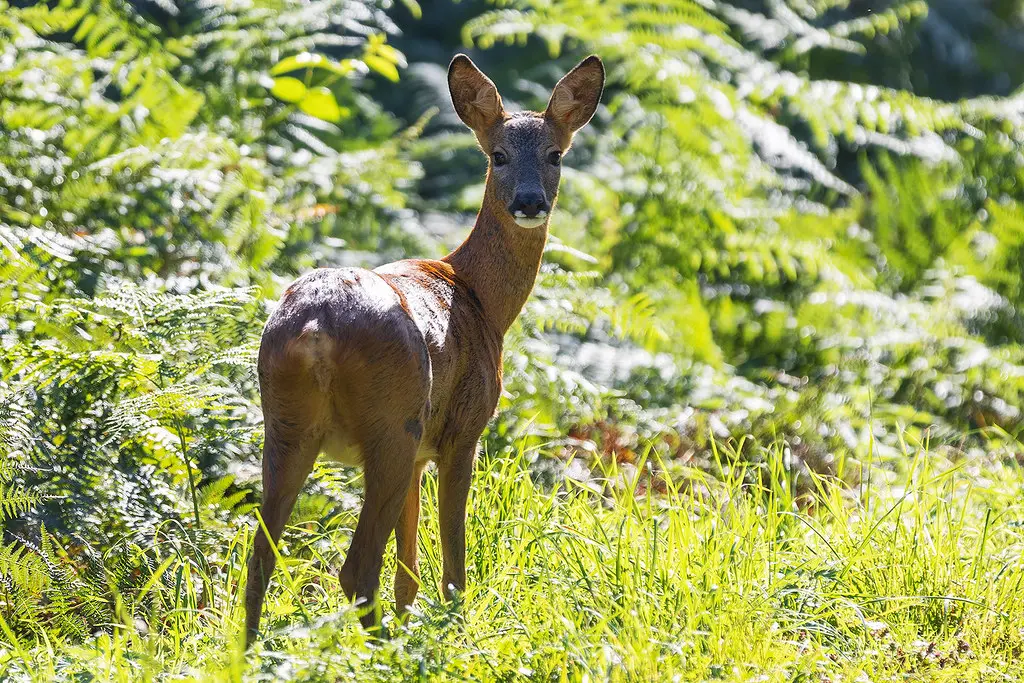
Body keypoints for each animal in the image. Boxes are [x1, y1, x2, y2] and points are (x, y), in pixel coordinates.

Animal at [244, 53, 604, 646]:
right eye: (498, 155)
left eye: (556, 154)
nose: (530, 202)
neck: (479, 297)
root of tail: (316, 327)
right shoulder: (462, 430)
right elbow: (451, 558)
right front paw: (457, 625)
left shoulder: (419, 455)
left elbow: (408, 568)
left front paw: (414, 617)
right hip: (392, 423)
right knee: (355, 568)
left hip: (286, 424)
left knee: (259, 559)